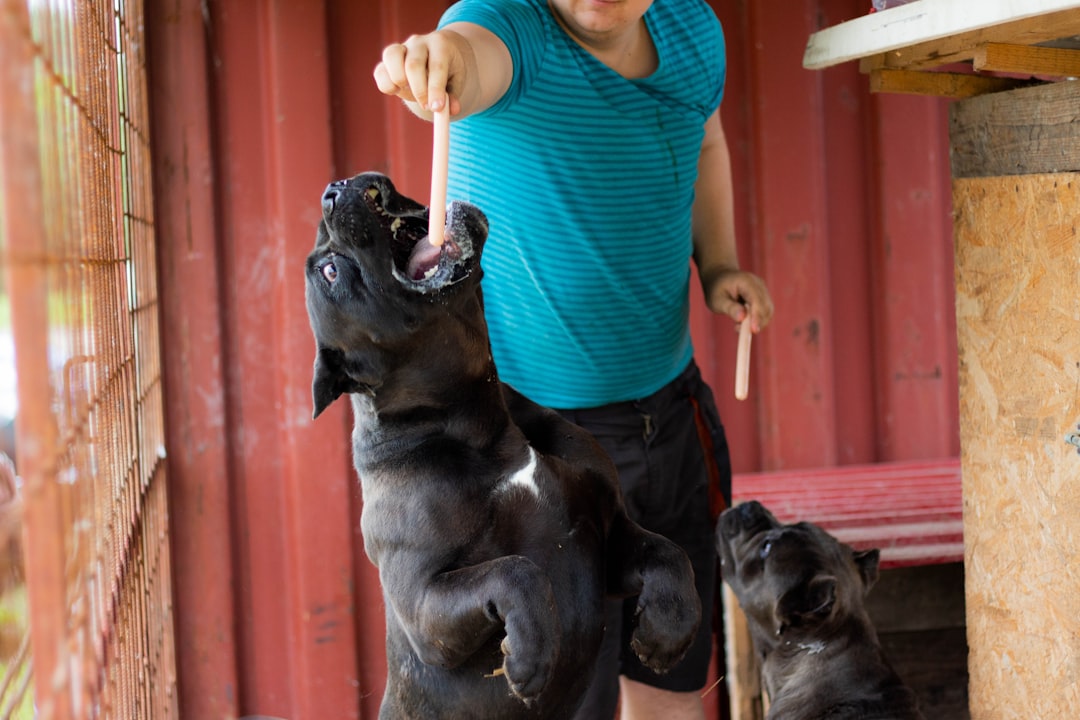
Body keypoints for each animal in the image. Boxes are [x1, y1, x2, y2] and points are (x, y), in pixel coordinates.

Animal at [304, 171, 699, 716]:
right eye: (329, 272)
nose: (335, 188)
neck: (480, 420)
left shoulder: (609, 534)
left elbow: (669, 552)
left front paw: (668, 629)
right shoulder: (424, 603)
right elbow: (516, 572)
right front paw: (531, 654)